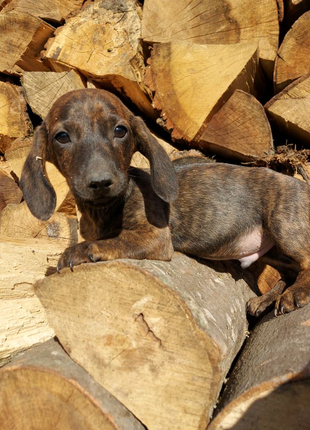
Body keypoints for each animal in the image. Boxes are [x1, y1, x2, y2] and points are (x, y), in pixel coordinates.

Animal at [21, 88, 310, 316]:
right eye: (62, 137)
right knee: (288, 272)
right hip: (274, 252)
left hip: (283, 224)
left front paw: (80, 251)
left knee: (306, 261)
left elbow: (113, 241)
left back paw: (295, 293)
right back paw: (266, 299)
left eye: (120, 131)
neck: (103, 210)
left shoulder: (154, 236)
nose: (101, 182)